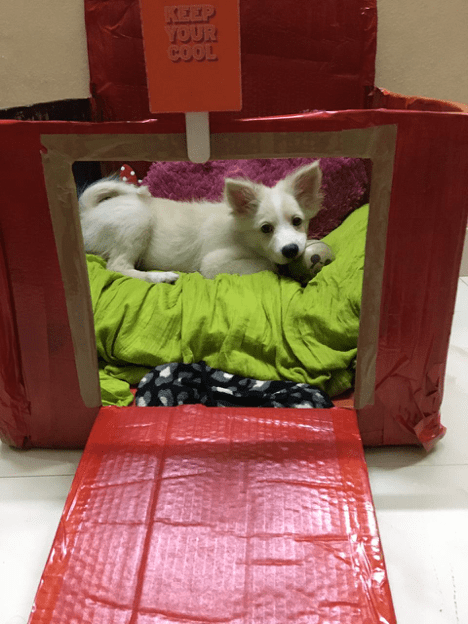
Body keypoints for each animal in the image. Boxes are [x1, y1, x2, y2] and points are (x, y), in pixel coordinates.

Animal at [79, 163, 322, 286]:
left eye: (297, 221)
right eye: (266, 229)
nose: (291, 250)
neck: (246, 237)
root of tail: (88, 212)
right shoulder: (213, 263)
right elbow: (268, 264)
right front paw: (278, 266)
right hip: (137, 219)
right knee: (117, 266)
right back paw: (160, 277)